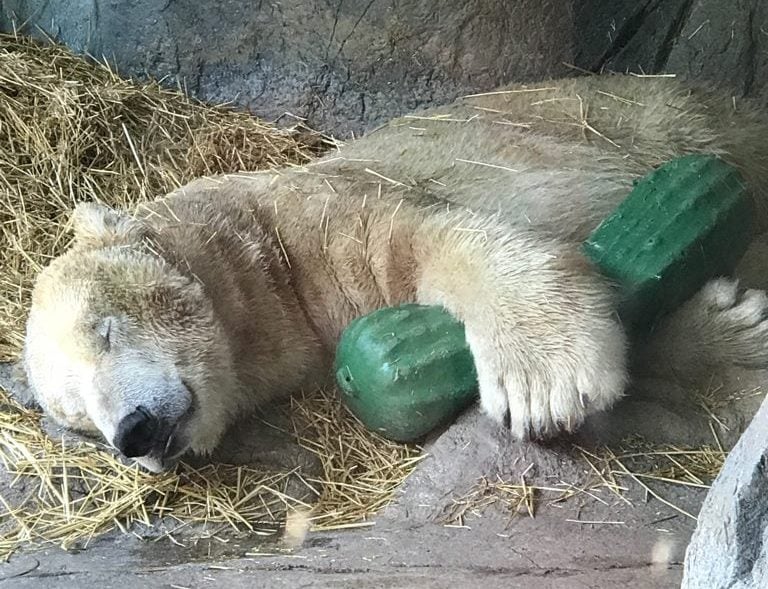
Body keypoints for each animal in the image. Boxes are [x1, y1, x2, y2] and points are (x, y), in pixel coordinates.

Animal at [21, 74, 768, 473]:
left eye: (105, 330)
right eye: (77, 417)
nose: (133, 434)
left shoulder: (319, 217)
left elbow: (422, 238)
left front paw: (546, 376)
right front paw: (731, 329)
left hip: (682, 115)